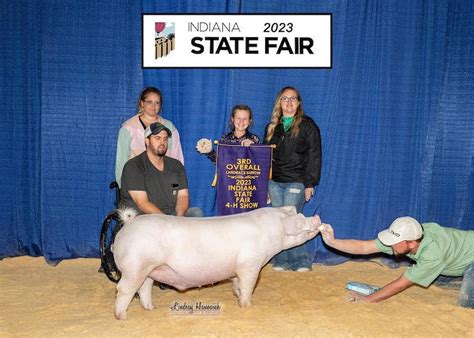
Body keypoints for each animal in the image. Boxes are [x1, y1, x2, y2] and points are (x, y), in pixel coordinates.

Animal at [112, 206, 318, 320]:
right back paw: (122, 317)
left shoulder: (237, 268)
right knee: (124, 289)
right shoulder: (250, 263)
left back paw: (150, 309)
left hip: (149, 269)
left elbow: (237, 283)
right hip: (135, 266)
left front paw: (237, 295)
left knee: (143, 288)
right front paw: (247, 305)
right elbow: (249, 284)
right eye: (301, 222)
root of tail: (127, 226)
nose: (316, 217)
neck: (269, 232)